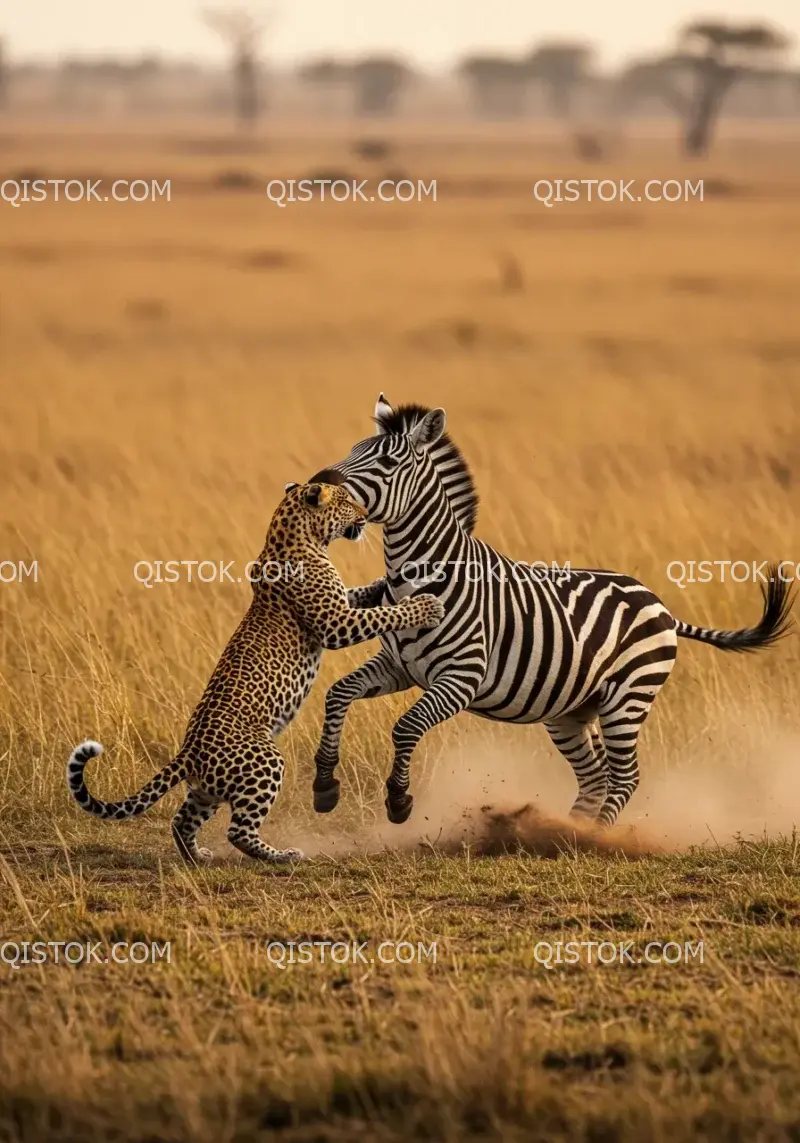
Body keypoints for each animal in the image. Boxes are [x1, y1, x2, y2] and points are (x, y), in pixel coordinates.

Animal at [66, 482, 443, 864]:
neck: (294, 537)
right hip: (265, 761)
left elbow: (360, 595)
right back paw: (283, 855)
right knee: (238, 831)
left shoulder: (340, 604)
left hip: (207, 790)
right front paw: (425, 607)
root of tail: (189, 752)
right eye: (346, 501)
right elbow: (383, 615)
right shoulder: (335, 623)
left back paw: (198, 857)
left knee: (182, 820)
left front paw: (381, 583)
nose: (366, 515)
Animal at [308, 397, 795, 827]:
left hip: (628, 697)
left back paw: (595, 837)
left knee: (625, 777)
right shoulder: (400, 666)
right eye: (353, 449)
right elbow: (339, 693)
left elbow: (406, 727)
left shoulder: (461, 677)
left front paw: (399, 801)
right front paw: (325, 786)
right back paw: (565, 833)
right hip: (571, 711)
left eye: (387, 462)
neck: (423, 572)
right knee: (595, 776)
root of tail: (662, 607)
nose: (316, 486)